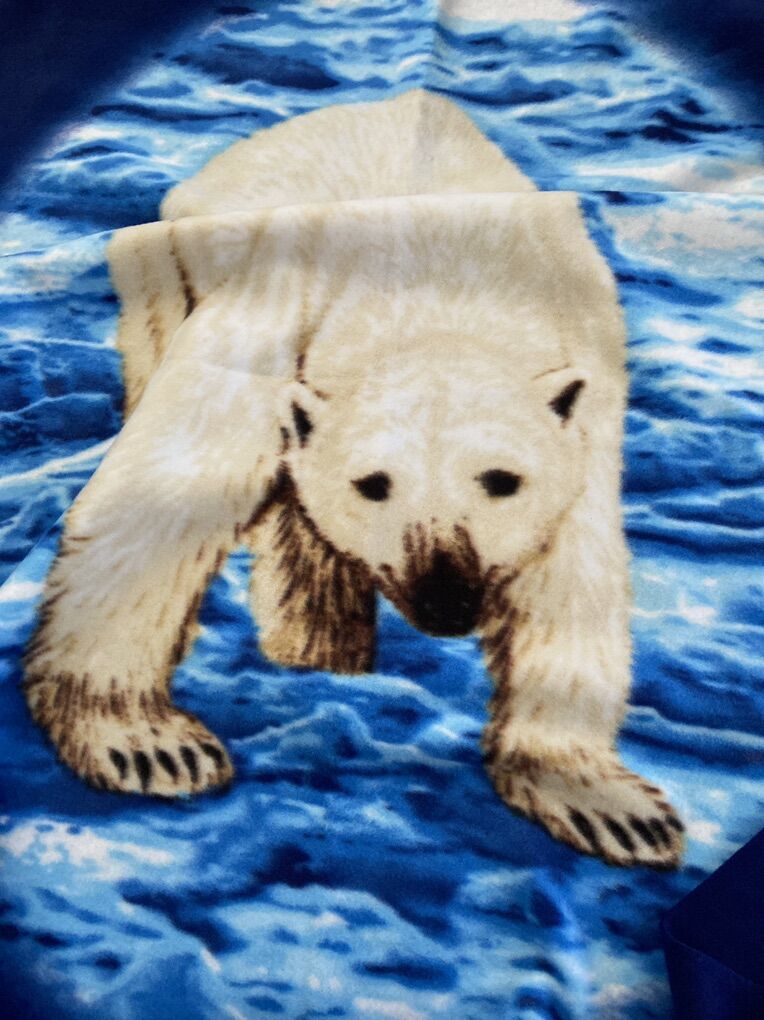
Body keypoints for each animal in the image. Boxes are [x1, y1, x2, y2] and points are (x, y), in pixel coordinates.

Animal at [23, 89, 684, 868]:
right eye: (373, 482)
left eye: (501, 480)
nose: (445, 597)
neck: (442, 279)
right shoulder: (272, 331)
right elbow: (168, 497)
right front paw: (147, 745)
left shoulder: (588, 390)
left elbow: (569, 576)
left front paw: (609, 805)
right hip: (161, 274)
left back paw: (322, 655)